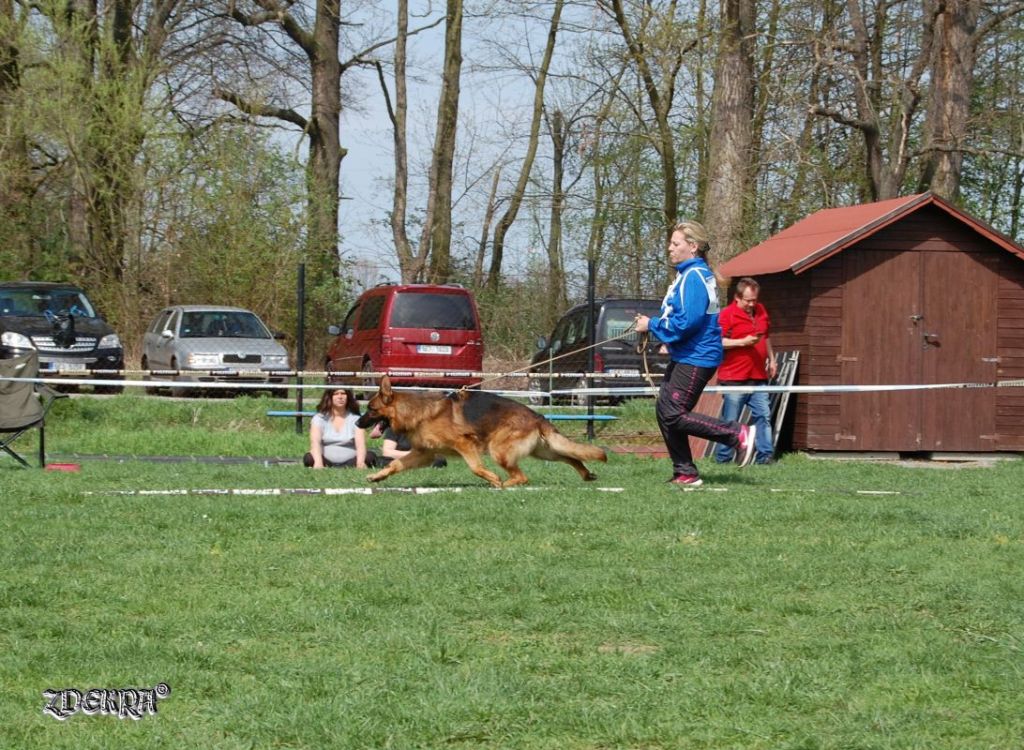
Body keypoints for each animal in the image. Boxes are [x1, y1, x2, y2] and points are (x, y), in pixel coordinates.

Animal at [356, 377, 602, 489]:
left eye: (371, 409)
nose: (357, 422)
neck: (418, 413)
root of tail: (537, 417)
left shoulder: (464, 444)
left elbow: (476, 467)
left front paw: (492, 478)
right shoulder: (424, 454)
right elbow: (395, 464)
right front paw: (378, 476)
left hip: (499, 450)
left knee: (522, 476)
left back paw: (502, 485)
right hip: (543, 451)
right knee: (571, 457)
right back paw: (585, 474)